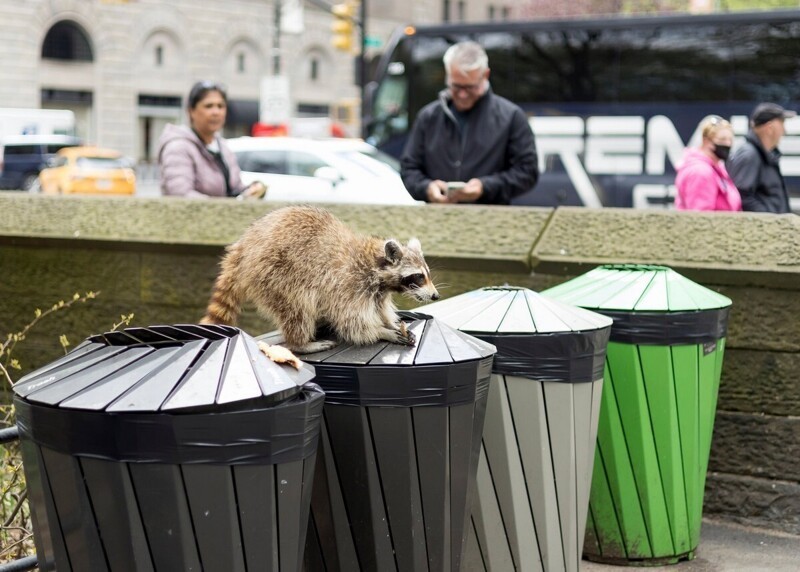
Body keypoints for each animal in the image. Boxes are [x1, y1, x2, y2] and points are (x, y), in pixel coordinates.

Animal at [199, 206, 438, 354]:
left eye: (427, 273)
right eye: (418, 276)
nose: (435, 295)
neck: (374, 264)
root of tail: (244, 245)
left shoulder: (377, 291)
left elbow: (380, 309)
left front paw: (390, 323)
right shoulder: (348, 285)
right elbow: (353, 323)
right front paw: (383, 332)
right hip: (276, 273)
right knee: (297, 308)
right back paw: (300, 343)